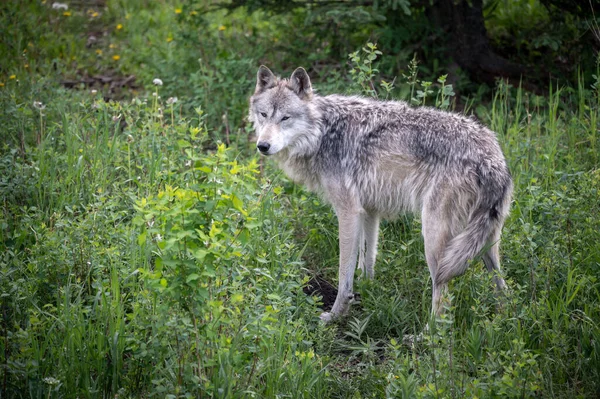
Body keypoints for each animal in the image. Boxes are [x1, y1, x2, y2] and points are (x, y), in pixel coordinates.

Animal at [247, 64, 510, 324]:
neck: (323, 133)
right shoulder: (370, 211)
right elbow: (368, 259)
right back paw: (502, 321)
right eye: (264, 115)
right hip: (485, 244)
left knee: (443, 301)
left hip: (435, 242)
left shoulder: (348, 212)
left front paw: (336, 315)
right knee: (503, 288)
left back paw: (426, 334)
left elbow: (344, 273)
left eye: (285, 118)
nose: (263, 146)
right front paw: (367, 291)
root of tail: (492, 159)